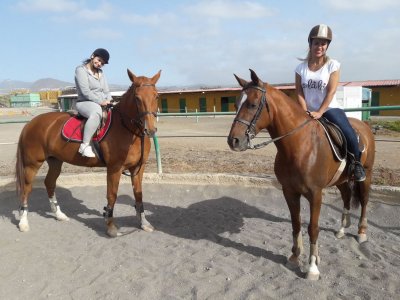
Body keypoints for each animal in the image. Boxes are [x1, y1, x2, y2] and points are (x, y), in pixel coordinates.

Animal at [16, 69, 159, 238]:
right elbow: (112, 195)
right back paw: (23, 222)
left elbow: (138, 194)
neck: (128, 130)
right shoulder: (114, 169)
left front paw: (144, 223)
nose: (150, 130)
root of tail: (30, 124)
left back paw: (59, 214)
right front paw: (110, 226)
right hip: (32, 165)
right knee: (26, 188)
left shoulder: (138, 168)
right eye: (137, 98)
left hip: (55, 161)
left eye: (156, 96)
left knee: (49, 183)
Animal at [228, 69, 376, 280]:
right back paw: (341, 229)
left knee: (364, 200)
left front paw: (313, 267)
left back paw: (361, 232)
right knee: (347, 197)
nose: (234, 141)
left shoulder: (315, 194)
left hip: (367, 175)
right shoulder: (289, 192)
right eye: (235, 104)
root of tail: (364, 127)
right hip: (341, 180)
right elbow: (296, 224)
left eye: (252, 104)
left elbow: (312, 228)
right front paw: (295, 257)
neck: (300, 145)